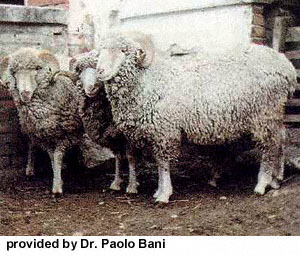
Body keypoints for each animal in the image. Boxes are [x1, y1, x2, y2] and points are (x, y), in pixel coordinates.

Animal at [0, 47, 86, 196]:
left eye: (37, 68)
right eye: (14, 72)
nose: (25, 93)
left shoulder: (67, 134)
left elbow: (57, 156)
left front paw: (57, 187)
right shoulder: (43, 136)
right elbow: (52, 157)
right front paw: (58, 181)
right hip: (28, 127)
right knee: (31, 145)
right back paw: (30, 170)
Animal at [71, 50, 139, 193]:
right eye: (80, 72)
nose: (90, 88)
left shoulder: (128, 134)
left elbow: (131, 157)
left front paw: (132, 186)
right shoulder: (113, 136)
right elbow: (118, 157)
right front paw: (116, 183)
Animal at [91, 31, 298, 204]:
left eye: (123, 51)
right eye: (101, 51)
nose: (100, 71)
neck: (148, 80)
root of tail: (287, 68)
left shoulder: (165, 130)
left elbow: (163, 163)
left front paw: (164, 194)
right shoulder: (157, 131)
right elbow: (158, 162)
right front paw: (158, 191)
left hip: (264, 114)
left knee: (269, 148)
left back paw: (262, 184)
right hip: (275, 113)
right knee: (281, 139)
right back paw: (276, 179)